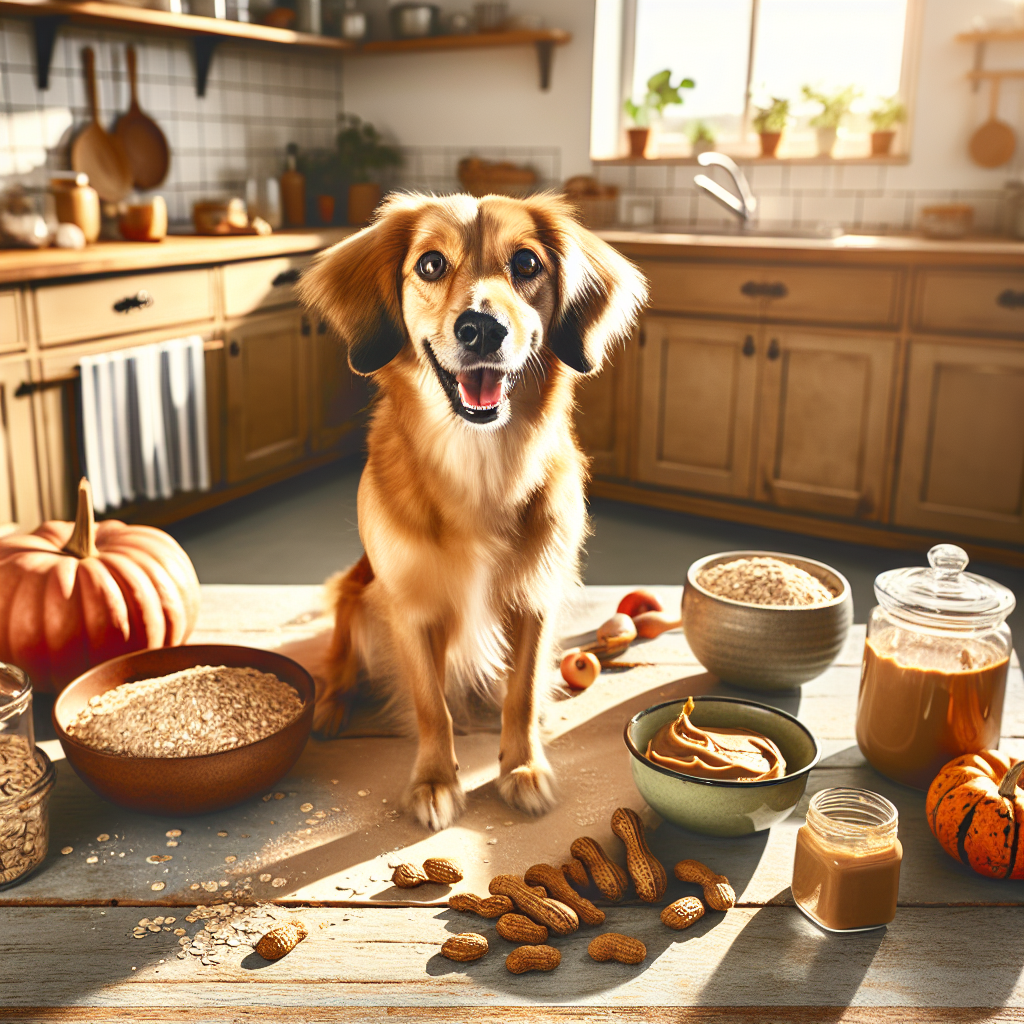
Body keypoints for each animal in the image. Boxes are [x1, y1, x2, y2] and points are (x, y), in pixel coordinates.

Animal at [299, 193, 643, 831]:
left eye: (527, 262)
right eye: (431, 264)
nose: (482, 328)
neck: (480, 463)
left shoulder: (535, 600)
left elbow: (522, 695)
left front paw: (522, 766)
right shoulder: (410, 609)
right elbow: (432, 707)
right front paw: (435, 780)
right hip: (357, 600)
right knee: (340, 664)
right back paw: (331, 708)